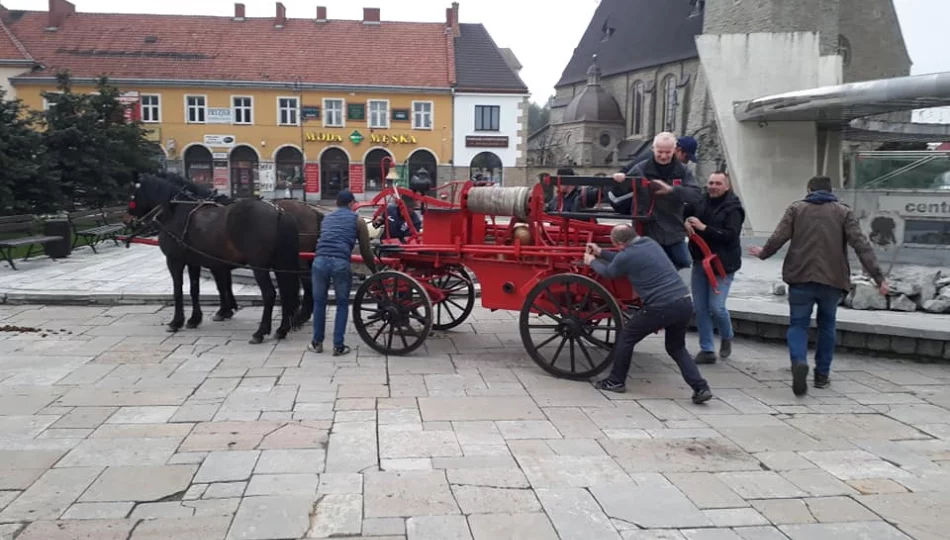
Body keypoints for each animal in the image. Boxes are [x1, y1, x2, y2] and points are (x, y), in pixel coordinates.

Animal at [128, 174, 302, 342]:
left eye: (132, 194)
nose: (128, 221)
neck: (175, 211)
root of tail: (279, 212)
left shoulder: (174, 260)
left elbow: (178, 290)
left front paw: (176, 322)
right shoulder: (194, 262)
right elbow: (194, 289)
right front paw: (194, 319)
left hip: (259, 266)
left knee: (269, 294)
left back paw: (260, 332)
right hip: (280, 263)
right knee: (285, 292)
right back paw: (281, 330)